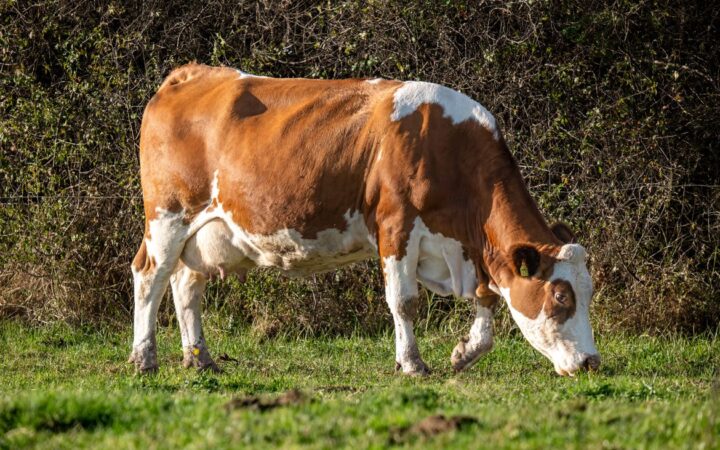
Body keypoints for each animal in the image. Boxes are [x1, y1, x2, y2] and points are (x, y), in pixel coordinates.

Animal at [128, 63, 600, 377]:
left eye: (588, 293)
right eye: (561, 297)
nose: (592, 361)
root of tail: (192, 74)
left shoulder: (472, 250)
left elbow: (487, 299)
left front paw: (465, 352)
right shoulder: (395, 225)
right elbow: (404, 301)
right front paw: (412, 363)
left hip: (204, 232)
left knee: (186, 285)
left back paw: (200, 359)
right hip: (169, 216)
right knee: (150, 276)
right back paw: (144, 358)